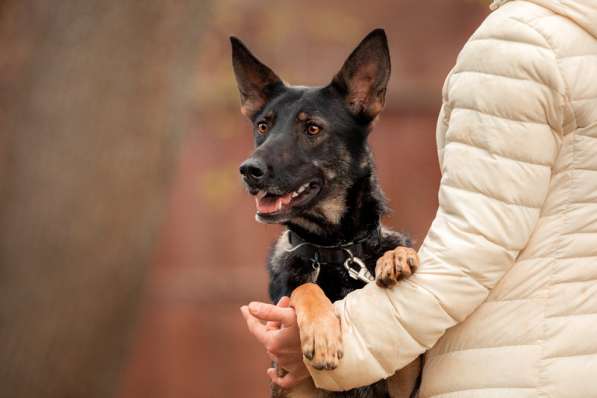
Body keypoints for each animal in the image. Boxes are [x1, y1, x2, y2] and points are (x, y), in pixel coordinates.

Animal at [230, 28, 422, 398]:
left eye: (313, 129)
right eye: (262, 126)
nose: (249, 170)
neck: (337, 249)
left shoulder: (407, 381)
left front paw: (396, 257)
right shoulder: (291, 381)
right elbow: (306, 289)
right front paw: (321, 333)